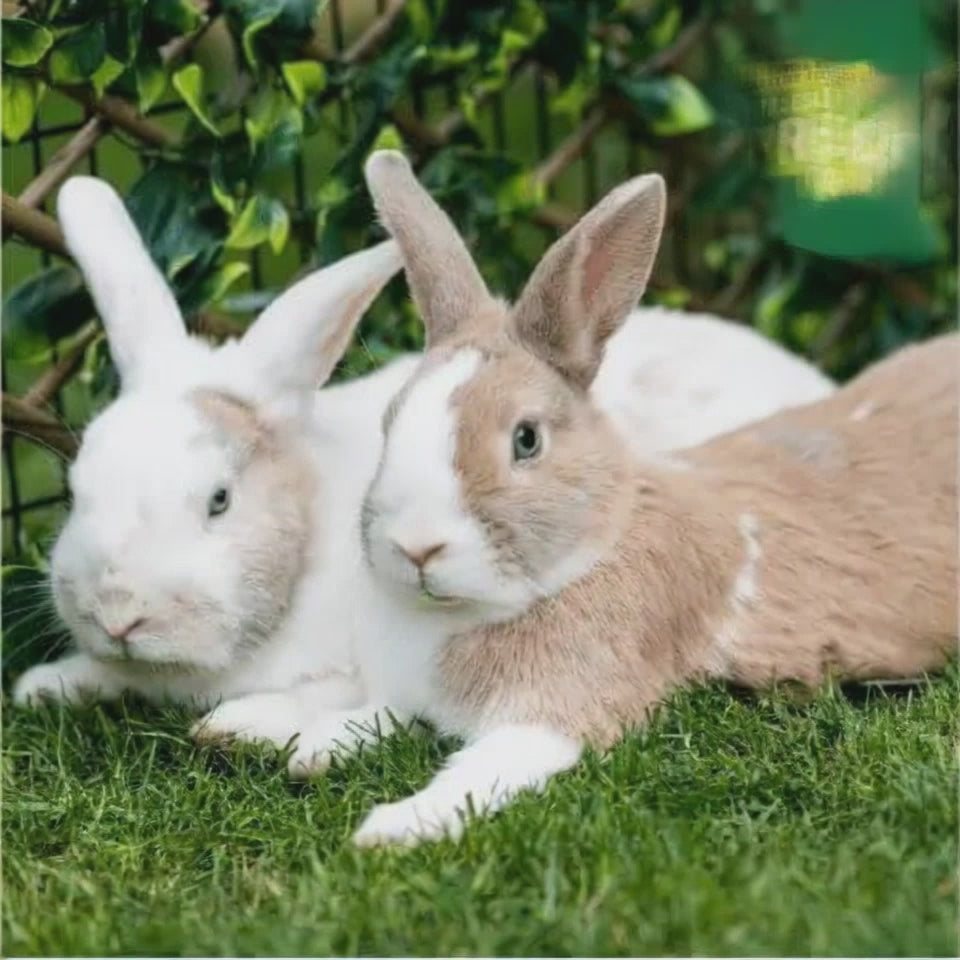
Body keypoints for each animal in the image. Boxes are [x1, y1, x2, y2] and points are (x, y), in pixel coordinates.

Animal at [283, 151, 956, 848]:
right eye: (389, 422)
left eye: (526, 439)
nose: (416, 547)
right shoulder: (401, 697)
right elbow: (373, 714)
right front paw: (304, 745)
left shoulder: (556, 713)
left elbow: (482, 771)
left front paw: (389, 829)